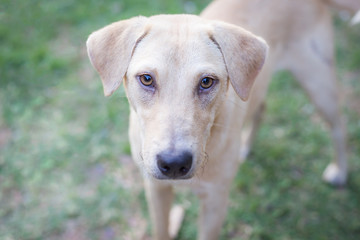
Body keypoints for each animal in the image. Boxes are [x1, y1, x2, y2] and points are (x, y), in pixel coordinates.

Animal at [86, 0, 358, 239]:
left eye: (207, 82)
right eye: (146, 79)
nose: (174, 164)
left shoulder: (215, 202)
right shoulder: (156, 189)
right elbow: (161, 231)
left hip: (318, 82)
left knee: (340, 126)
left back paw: (340, 171)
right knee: (261, 107)